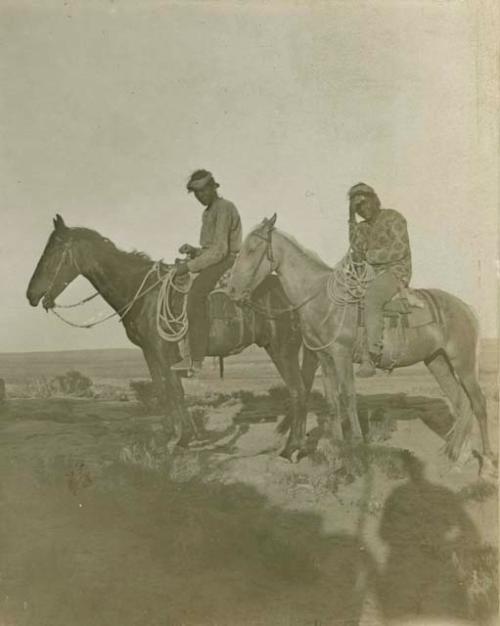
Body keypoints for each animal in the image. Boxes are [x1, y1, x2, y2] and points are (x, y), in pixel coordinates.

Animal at [26, 217, 316, 456]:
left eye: (52, 252)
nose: (31, 294)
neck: (143, 293)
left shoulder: (163, 353)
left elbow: (174, 392)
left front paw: (181, 439)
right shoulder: (151, 353)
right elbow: (164, 391)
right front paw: (172, 436)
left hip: (281, 350)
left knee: (298, 391)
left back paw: (292, 449)